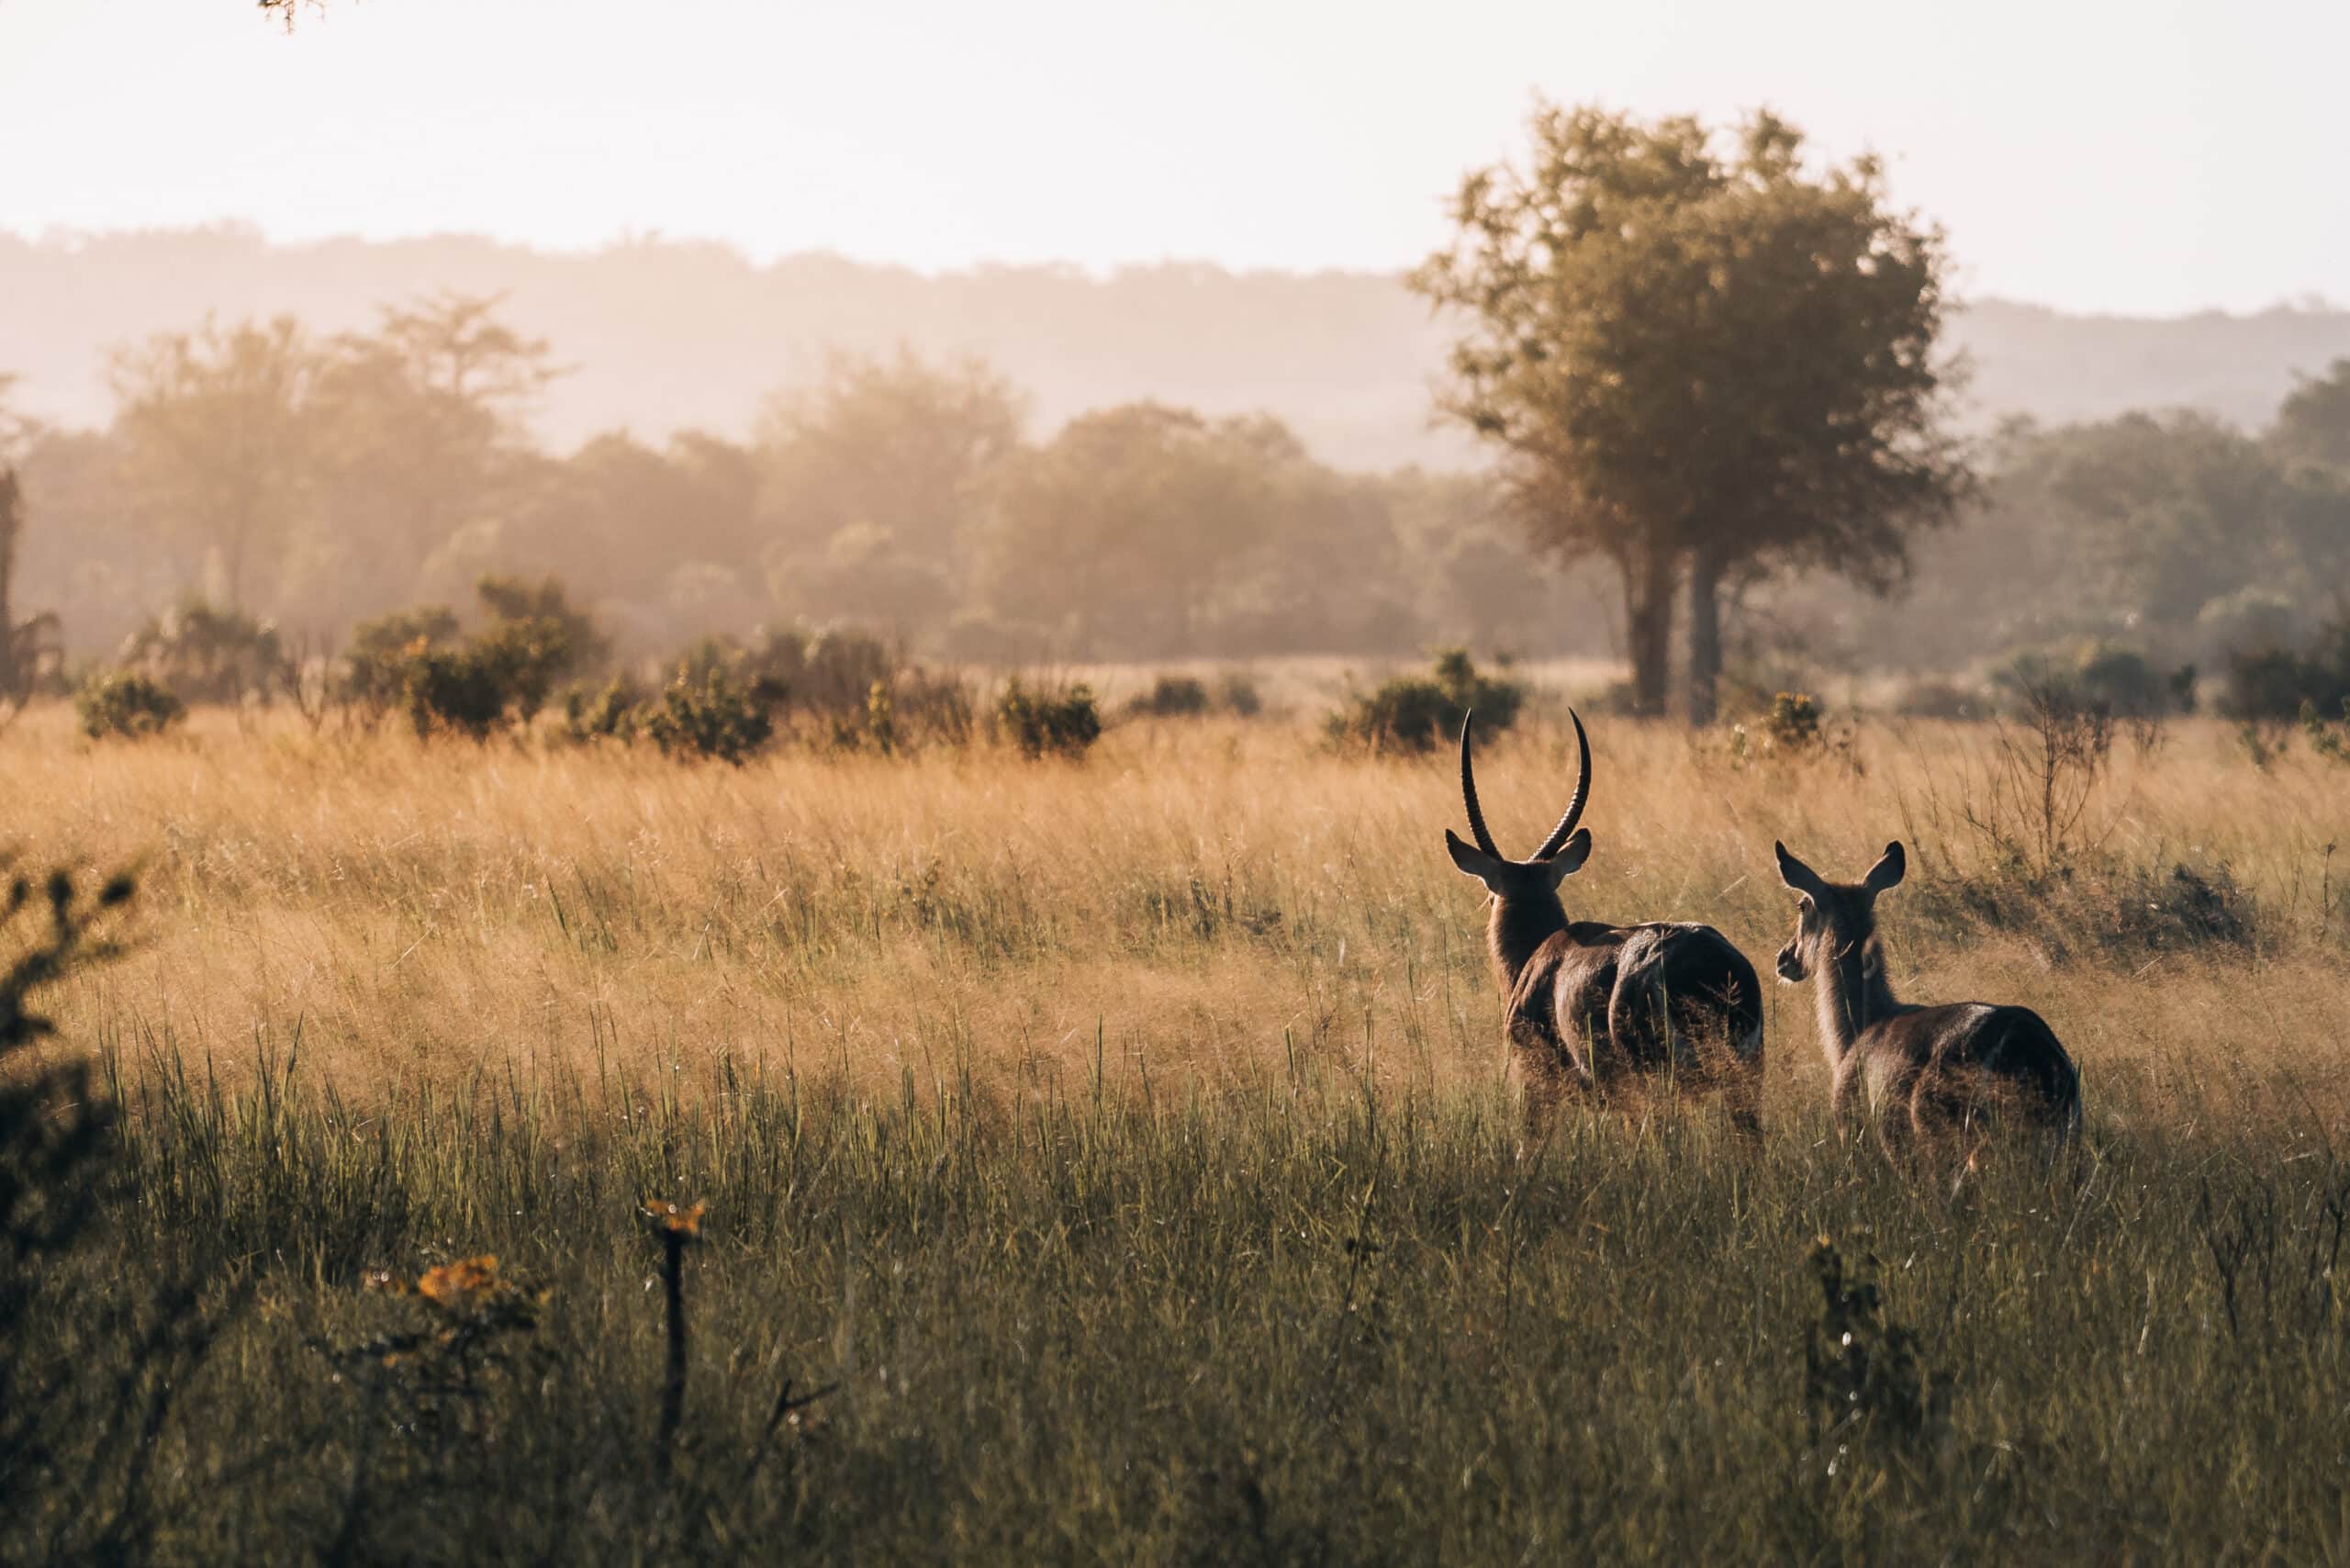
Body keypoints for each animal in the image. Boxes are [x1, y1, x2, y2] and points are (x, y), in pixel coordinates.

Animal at [1447, 714, 1767, 1142]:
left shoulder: (1534, 1081)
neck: (1535, 952)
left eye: (1490, 894)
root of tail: (1711, 967)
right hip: (1745, 1080)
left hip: (1657, 1081)